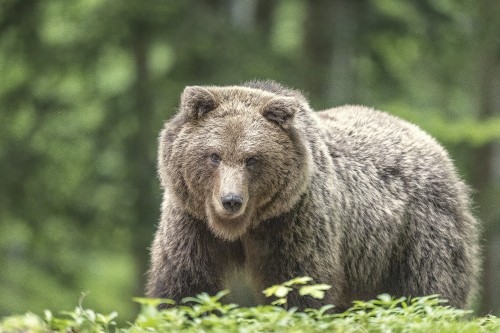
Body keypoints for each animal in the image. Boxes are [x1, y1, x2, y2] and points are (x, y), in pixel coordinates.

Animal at [146, 80, 480, 308]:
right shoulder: (192, 219)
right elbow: (185, 284)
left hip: (418, 232)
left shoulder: (295, 218)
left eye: (252, 159)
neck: (243, 228)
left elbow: (301, 285)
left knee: (430, 290)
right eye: (213, 155)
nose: (231, 201)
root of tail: (432, 143)